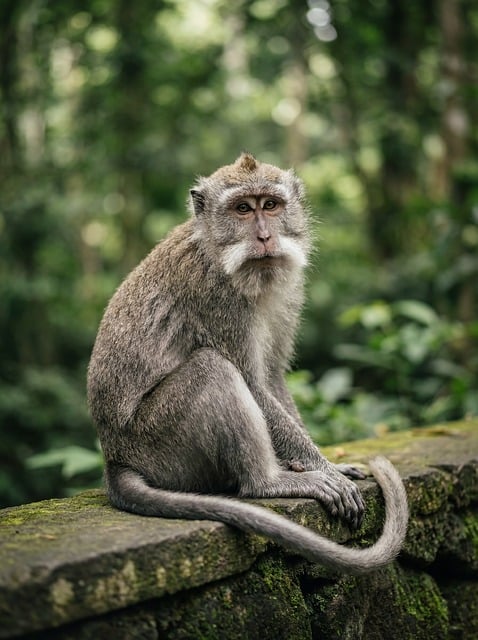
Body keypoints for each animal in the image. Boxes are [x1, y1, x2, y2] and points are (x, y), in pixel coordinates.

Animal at [87, 153, 408, 574]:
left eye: (270, 205)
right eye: (242, 209)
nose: (264, 237)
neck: (220, 252)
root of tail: (116, 459)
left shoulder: (288, 290)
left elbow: (272, 377)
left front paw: (327, 464)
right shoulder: (216, 297)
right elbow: (253, 383)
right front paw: (323, 468)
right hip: (159, 447)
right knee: (214, 369)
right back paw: (269, 482)